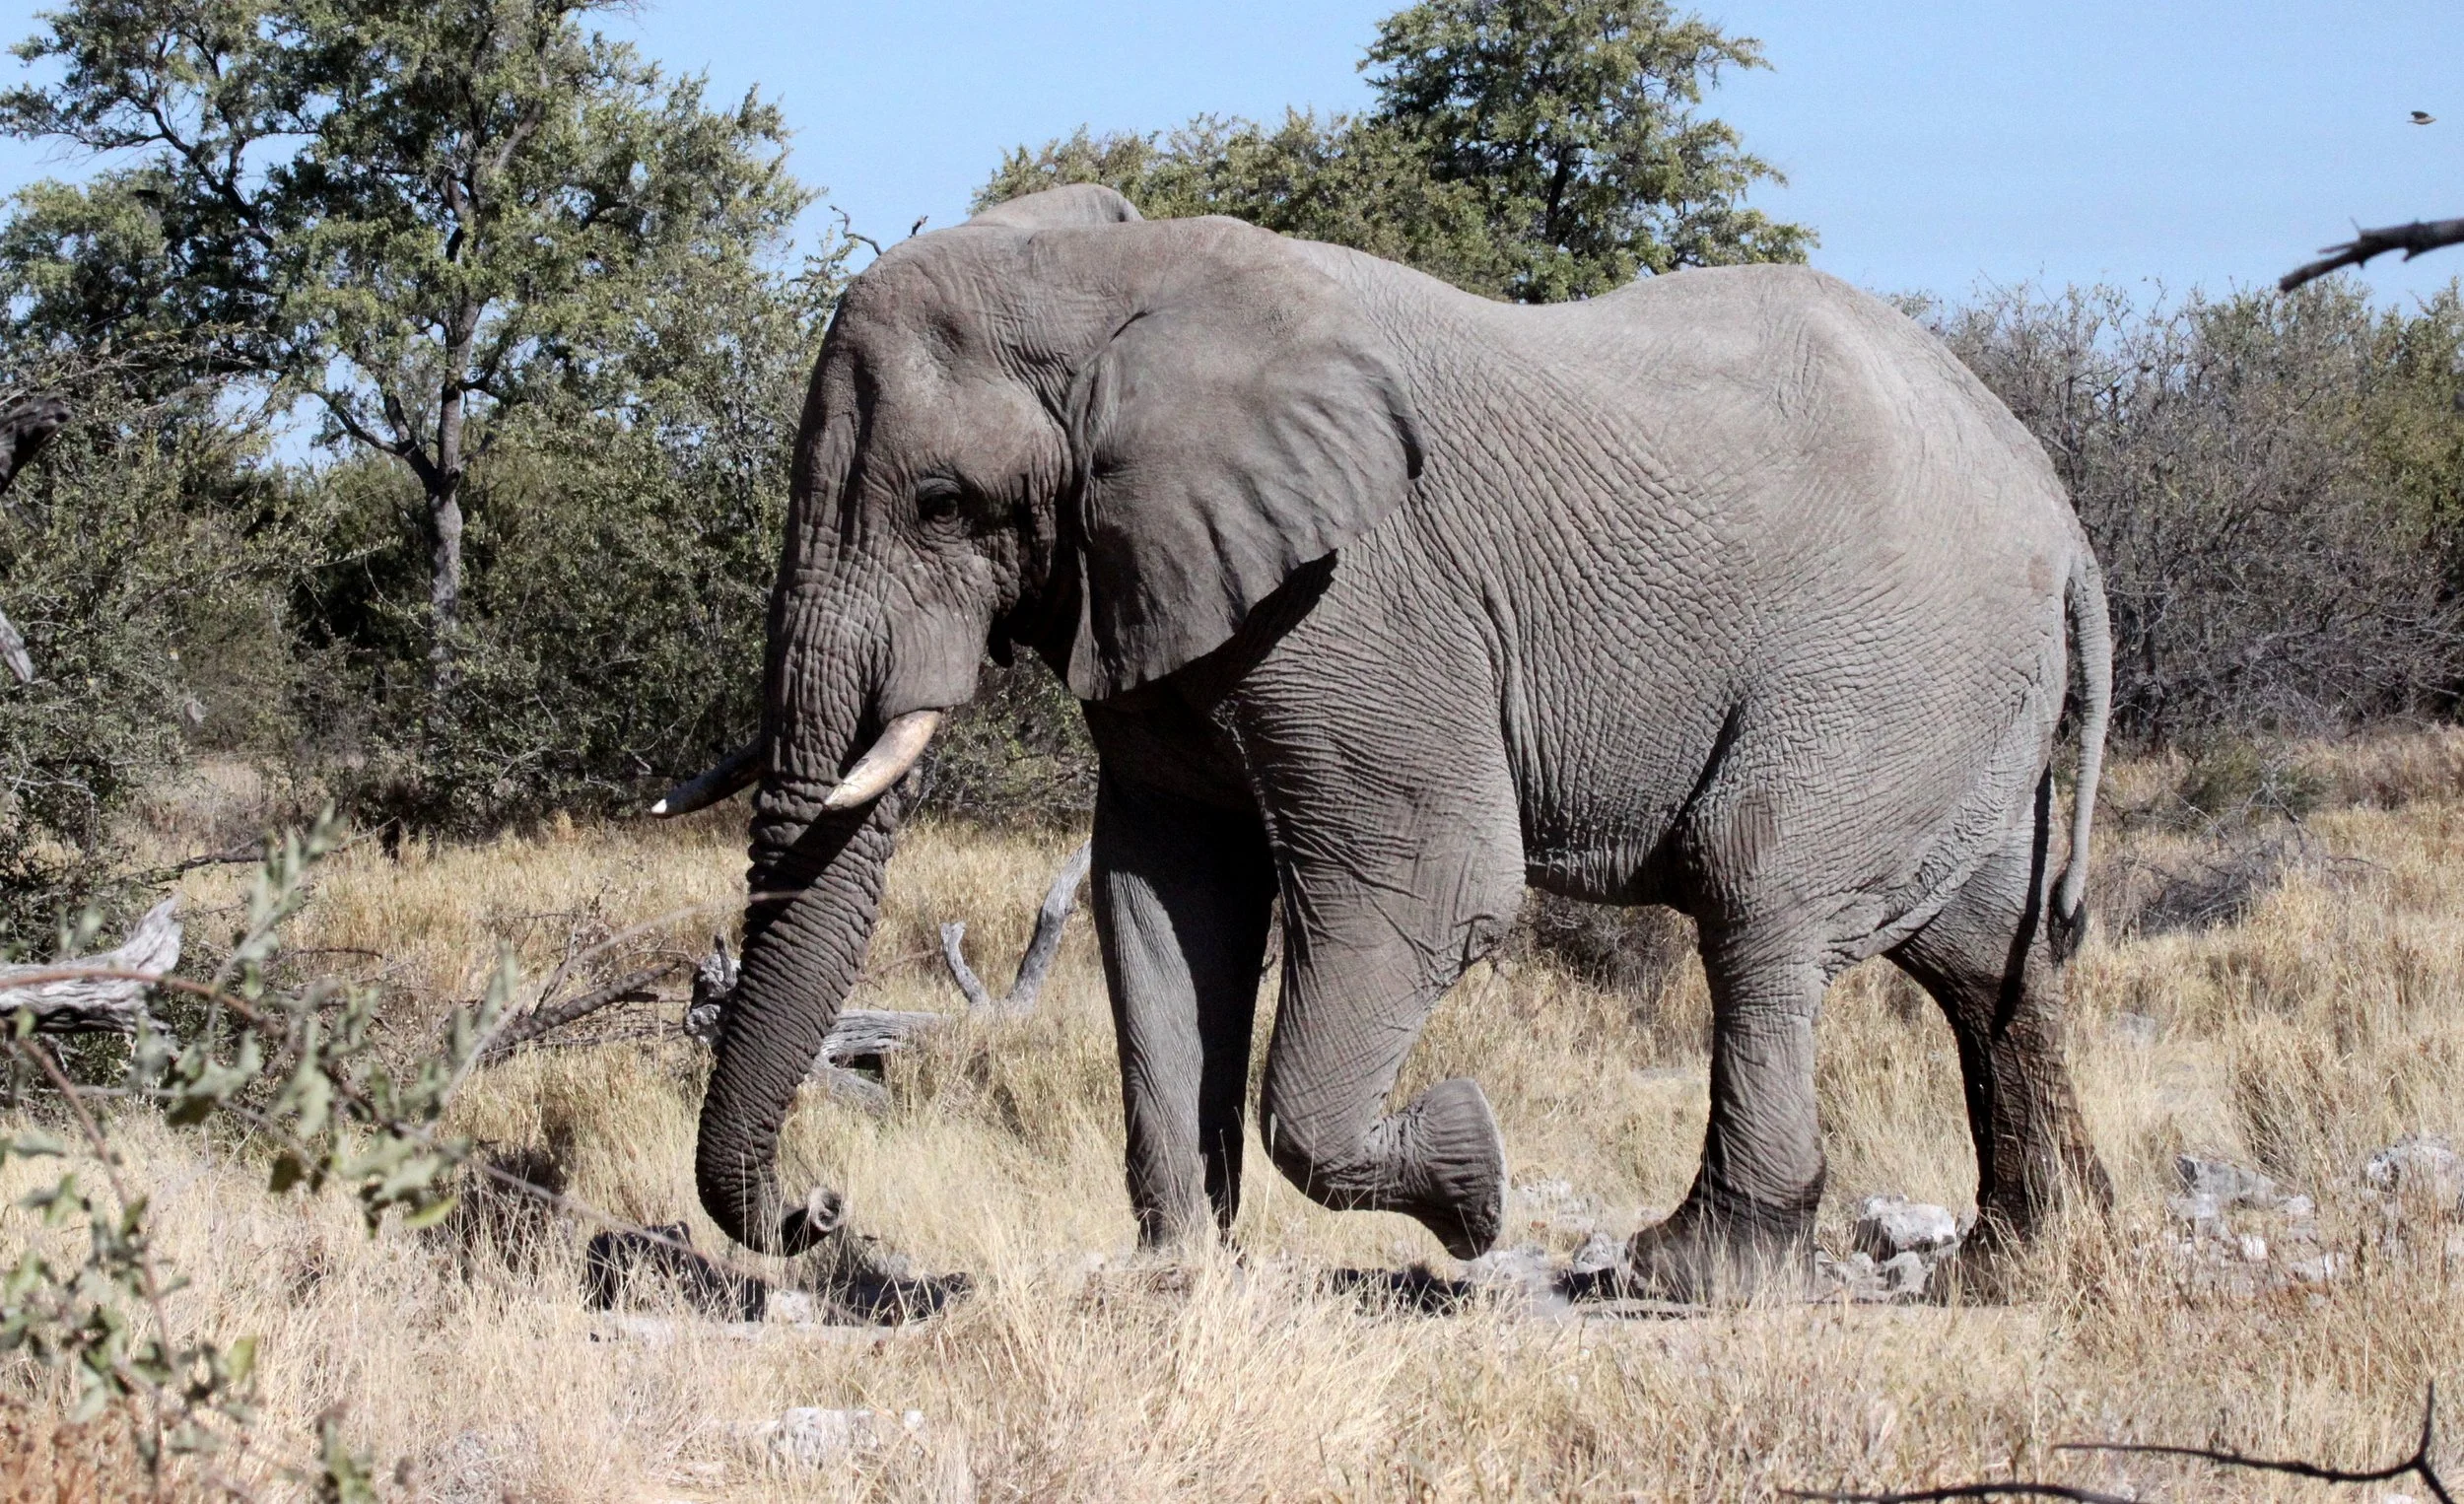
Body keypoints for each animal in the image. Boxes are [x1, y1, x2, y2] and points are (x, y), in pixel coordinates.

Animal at [664, 181, 2114, 1300]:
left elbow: (1434, 882)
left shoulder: (1363, 595)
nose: (822, 1209)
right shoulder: (1153, 580)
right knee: (1987, 954)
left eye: (941, 501)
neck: (1119, 281)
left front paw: (1474, 1184)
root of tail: (2064, 521)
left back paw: (1680, 1270)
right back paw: (2022, 1262)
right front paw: (1180, 1277)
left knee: (1763, 903)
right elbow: (1164, 896)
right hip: (1960, 701)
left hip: (1882, 667)